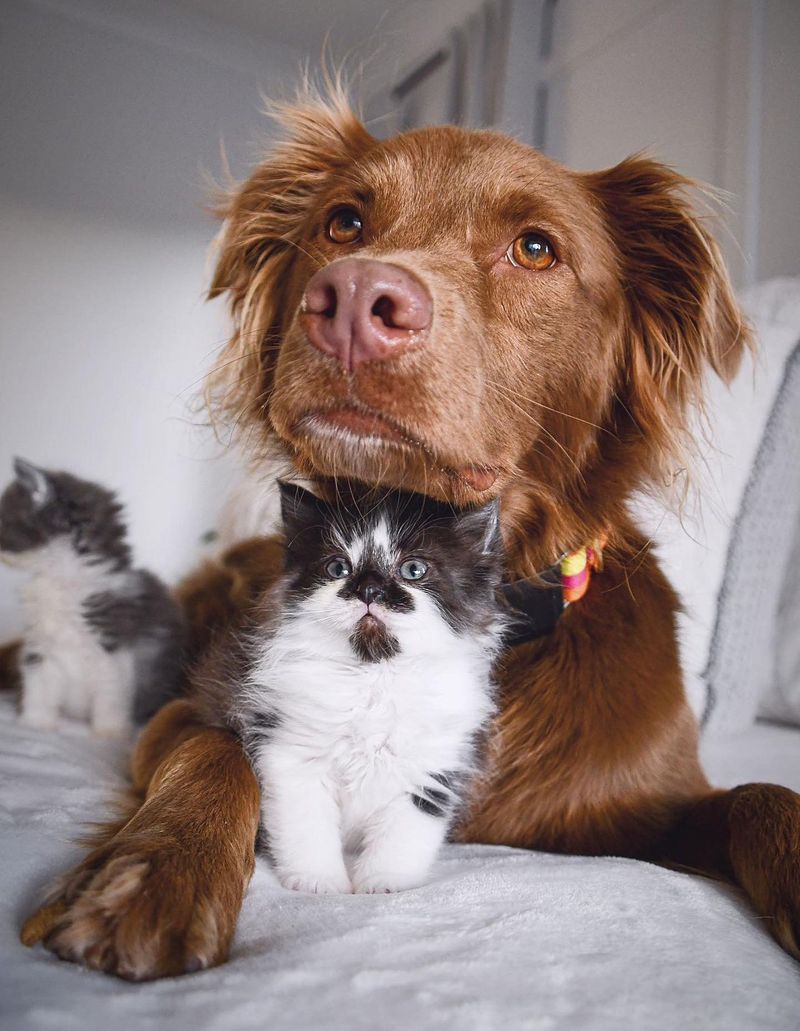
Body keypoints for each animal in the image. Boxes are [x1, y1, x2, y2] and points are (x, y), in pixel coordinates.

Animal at [0, 457, 185, 734]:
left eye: (2, 522)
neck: (60, 578)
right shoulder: (40, 647)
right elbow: (38, 687)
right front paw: (36, 723)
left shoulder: (114, 644)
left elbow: (111, 693)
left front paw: (110, 731)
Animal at [224, 482, 503, 894]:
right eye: (338, 568)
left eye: (413, 570)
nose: (369, 590)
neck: (374, 676)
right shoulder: (290, 753)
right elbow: (306, 827)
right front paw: (318, 882)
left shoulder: (433, 766)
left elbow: (403, 835)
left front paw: (384, 884)